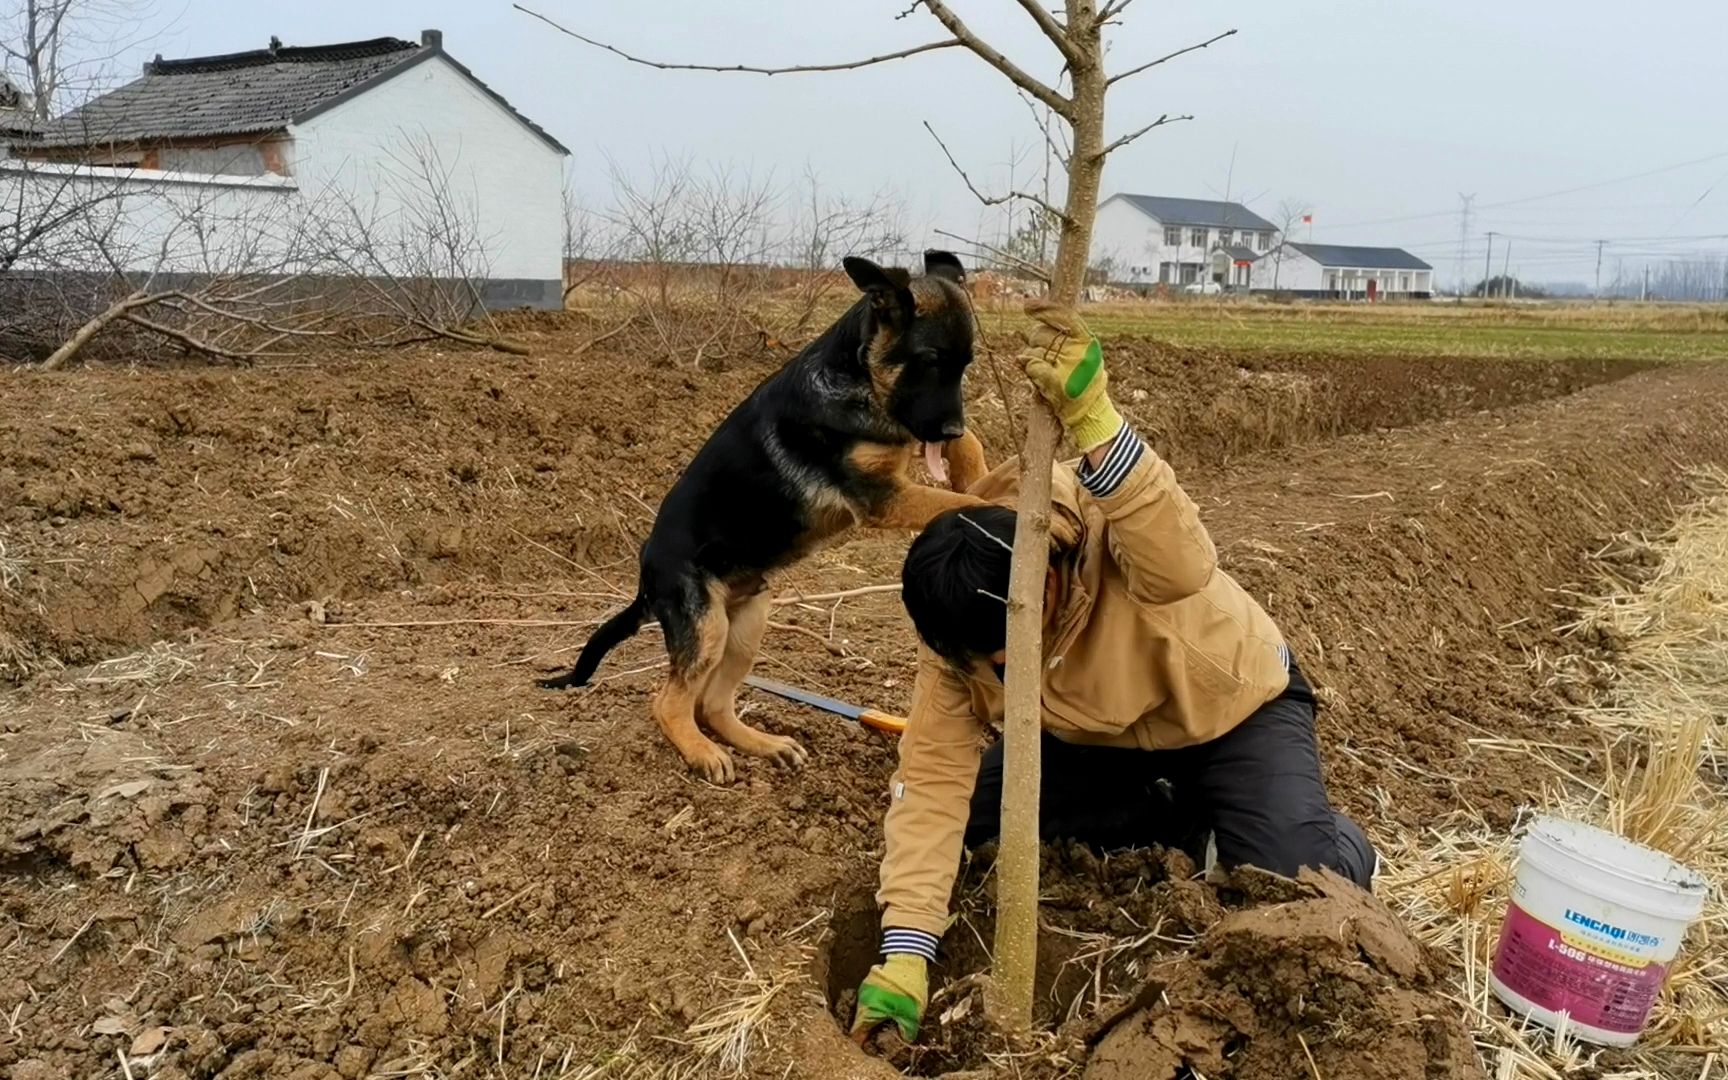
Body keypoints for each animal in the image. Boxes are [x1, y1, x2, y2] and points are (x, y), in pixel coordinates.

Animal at [546, 248, 995, 777]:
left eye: (965, 365)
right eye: (929, 362)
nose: (949, 426)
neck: (860, 378)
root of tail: (645, 579)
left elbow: (969, 449)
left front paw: (982, 469)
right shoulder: (882, 496)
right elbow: (963, 502)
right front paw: (1008, 508)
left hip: (747, 625)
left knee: (711, 704)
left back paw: (762, 743)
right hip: (708, 627)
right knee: (670, 703)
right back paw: (703, 753)